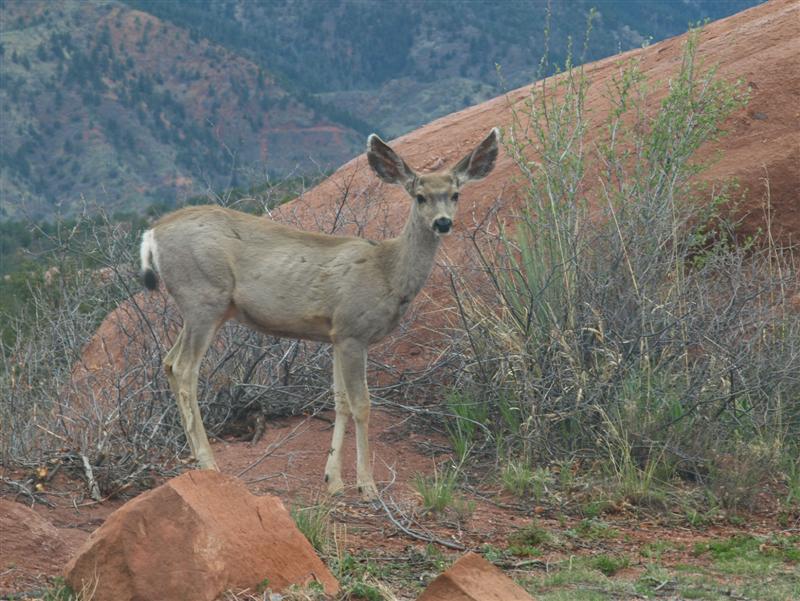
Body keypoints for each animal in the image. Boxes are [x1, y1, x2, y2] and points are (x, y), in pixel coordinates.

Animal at [138, 127, 500, 496]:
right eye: (420, 196)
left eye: (455, 194)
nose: (442, 223)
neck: (388, 271)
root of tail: (152, 234)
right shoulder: (354, 330)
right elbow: (362, 405)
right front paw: (367, 484)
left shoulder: (336, 334)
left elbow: (339, 401)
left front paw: (334, 480)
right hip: (203, 297)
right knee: (184, 369)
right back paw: (209, 464)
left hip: (201, 307)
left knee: (168, 361)